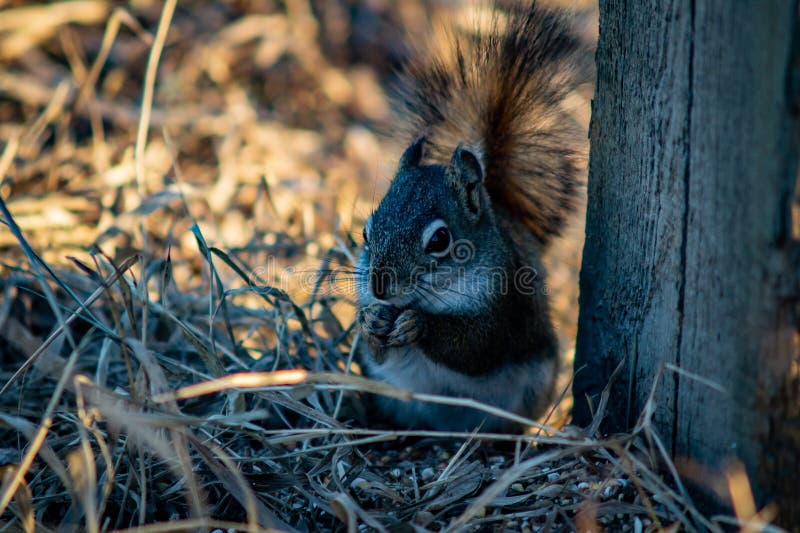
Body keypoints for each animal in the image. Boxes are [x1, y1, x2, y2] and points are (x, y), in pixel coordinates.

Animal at [356, 1, 588, 432]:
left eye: (439, 240)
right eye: (366, 231)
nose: (379, 288)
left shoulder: (502, 301)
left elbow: (475, 347)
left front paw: (418, 325)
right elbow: (378, 352)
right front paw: (371, 321)